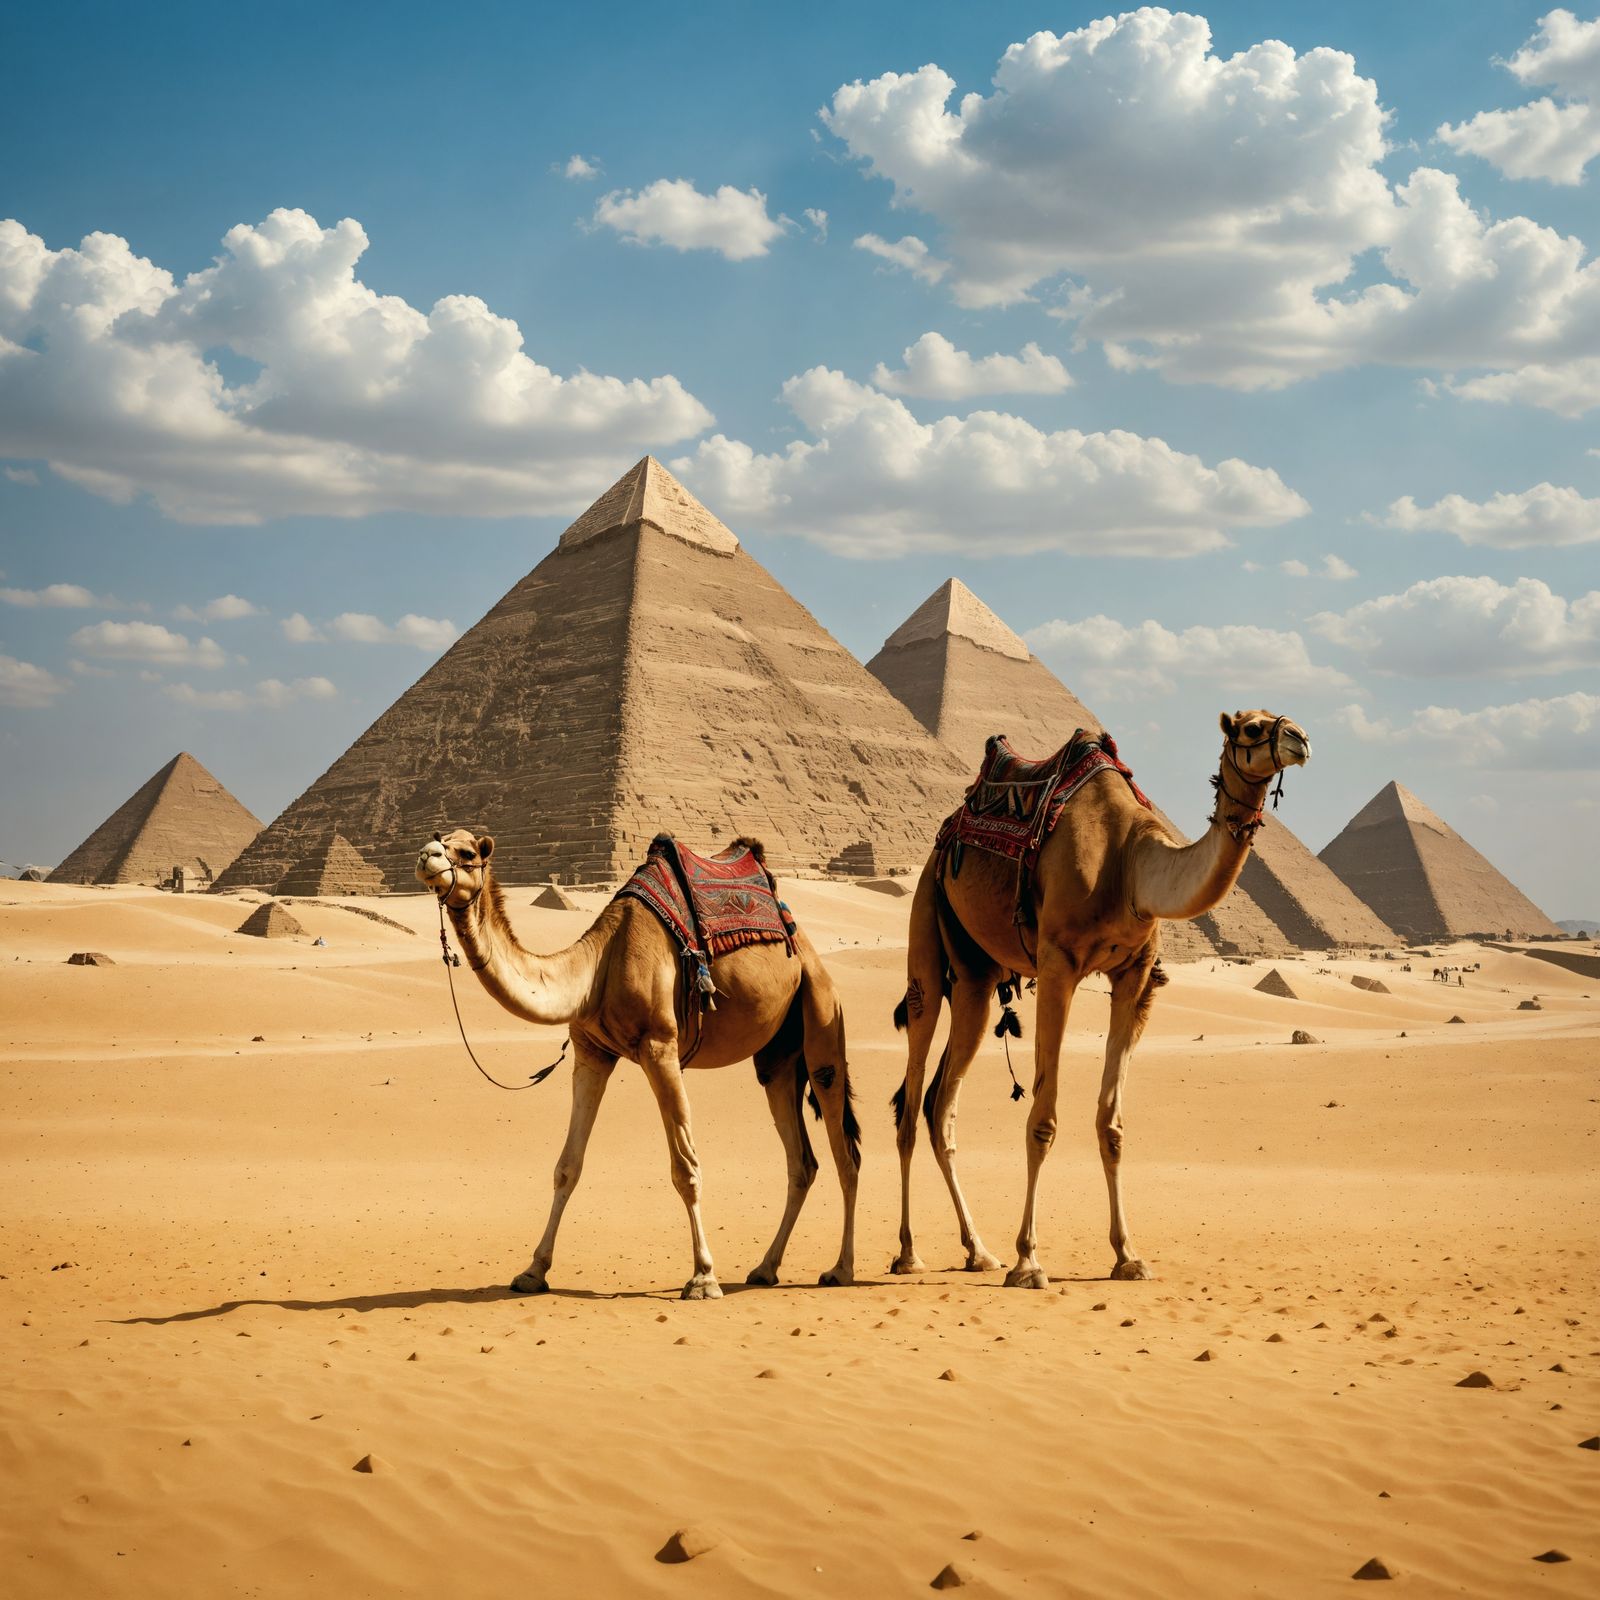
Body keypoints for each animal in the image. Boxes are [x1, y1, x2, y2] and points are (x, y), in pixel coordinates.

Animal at [416, 829, 859, 1300]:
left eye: (466, 852)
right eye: (439, 838)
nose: (426, 855)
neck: (598, 968)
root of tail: (807, 951)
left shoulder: (660, 1047)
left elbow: (685, 1168)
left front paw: (703, 1277)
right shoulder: (592, 1053)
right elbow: (567, 1167)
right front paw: (533, 1271)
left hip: (821, 1012)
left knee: (844, 1151)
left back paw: (840, 1269)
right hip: (777, 1058)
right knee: (802, 1162)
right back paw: (765, 1267)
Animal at [890, 710, 1310, 1287]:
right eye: (1249, 727)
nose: (1300, 738)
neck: (1130, 864)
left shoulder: (1134, 975)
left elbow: (1111, 1125)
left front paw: (1128, 1255)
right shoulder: (1057, 965)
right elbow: (1043, 1121)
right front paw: (1029, 1260)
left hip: (976, 976)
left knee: (940, 1105)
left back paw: (978, 1250)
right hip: (929, 918)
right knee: (911, 1101)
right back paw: (910, 1252)